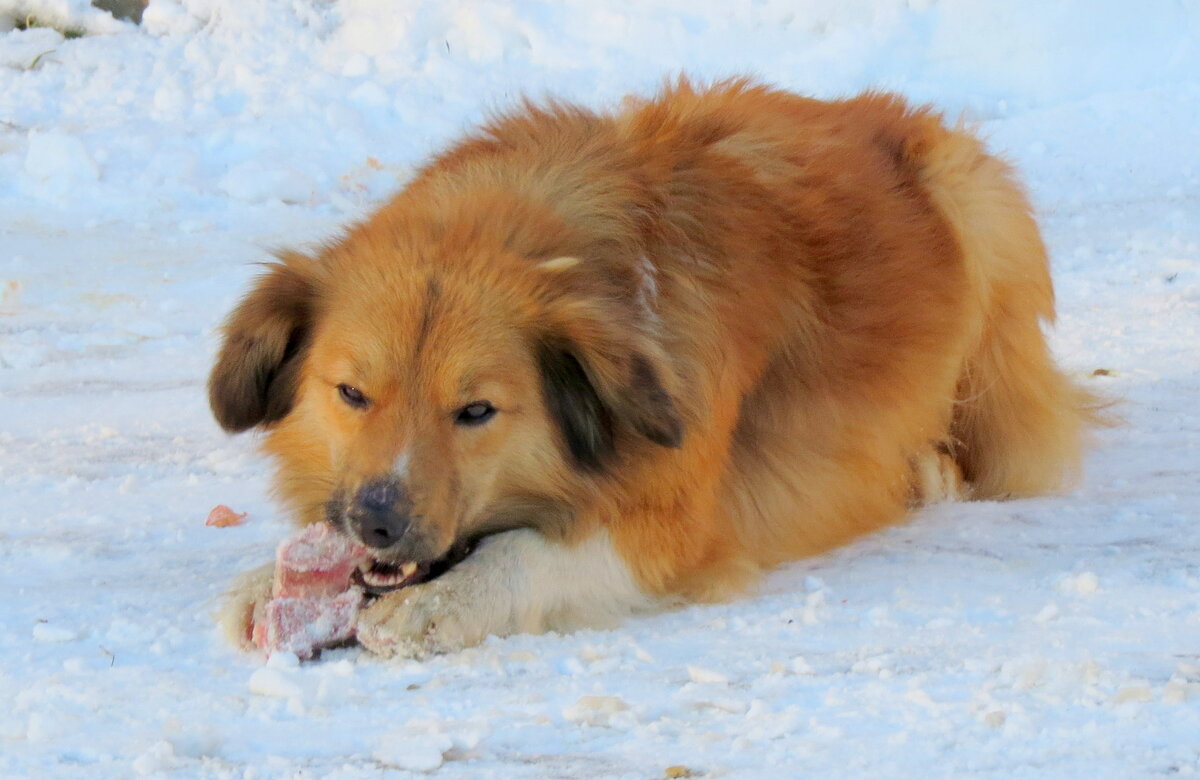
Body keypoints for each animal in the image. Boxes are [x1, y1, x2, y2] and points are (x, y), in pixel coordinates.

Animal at [208, 79, 1099, 652]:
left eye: (476, 412)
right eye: (352, 393)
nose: (376, 521)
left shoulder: (682, 522)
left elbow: (538, 550)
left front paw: (447, 604)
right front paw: (263, 580)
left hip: (976, 209)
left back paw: (931, 469)